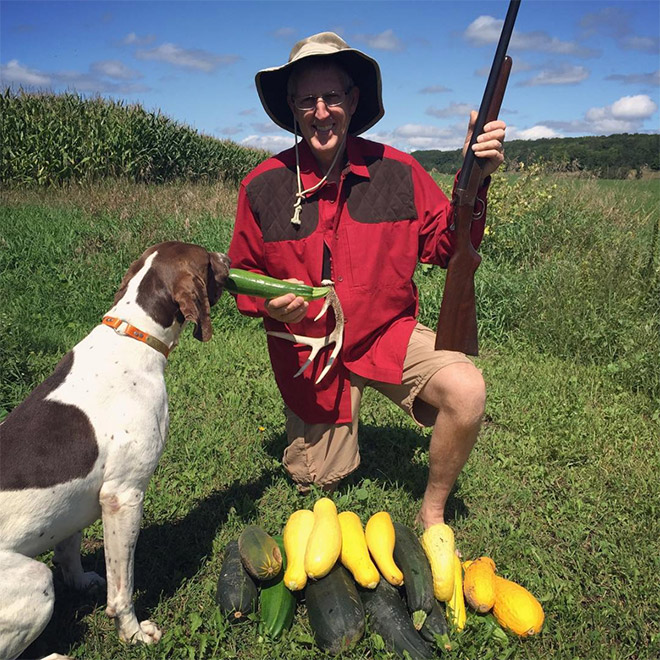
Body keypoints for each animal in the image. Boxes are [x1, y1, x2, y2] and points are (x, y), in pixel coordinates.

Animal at [0, 241, 231, 660]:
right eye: (208, 259)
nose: (228, 256)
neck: (132, 336)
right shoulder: (123, 496)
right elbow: (122, 589)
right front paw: (134, 633)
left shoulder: (77, 500)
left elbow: (68, 549)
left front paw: (78, 582)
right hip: (33, 579)